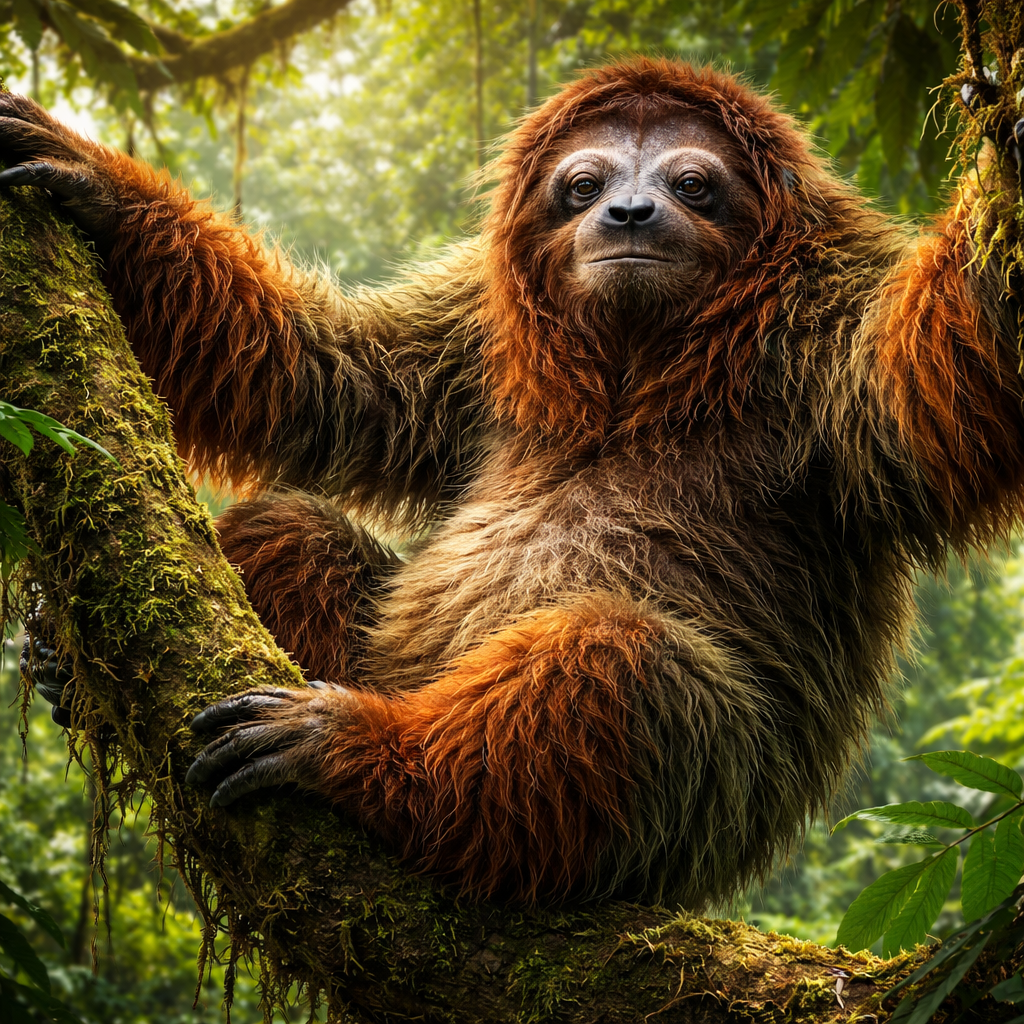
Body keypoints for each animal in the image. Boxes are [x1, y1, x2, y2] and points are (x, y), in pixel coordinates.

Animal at [3, 58, 1024, 909]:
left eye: (691, 183)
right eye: (586, 184)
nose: (629, 213)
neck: (640, 365)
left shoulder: (829, 322)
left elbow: (932, 390)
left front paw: (1005, 151)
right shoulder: (480, 332)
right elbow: (321, 375)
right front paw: (99, 187)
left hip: (701, 813)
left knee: (622, 664)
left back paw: (361, 756)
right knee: (295, 528)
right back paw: (83, 672)